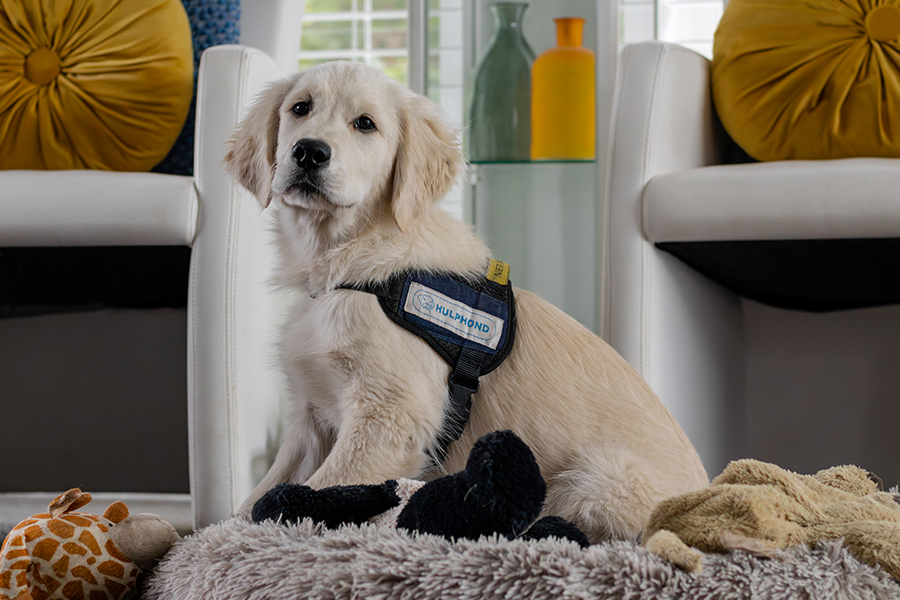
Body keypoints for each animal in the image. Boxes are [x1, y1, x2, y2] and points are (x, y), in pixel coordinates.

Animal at [225, 61, 712, 544]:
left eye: (365, 124)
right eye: (300, 108)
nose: (309, 152)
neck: (351, 262)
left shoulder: (390, 417)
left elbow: (312, 493)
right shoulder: (311, 418)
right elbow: (252, 500)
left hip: (596, 478)